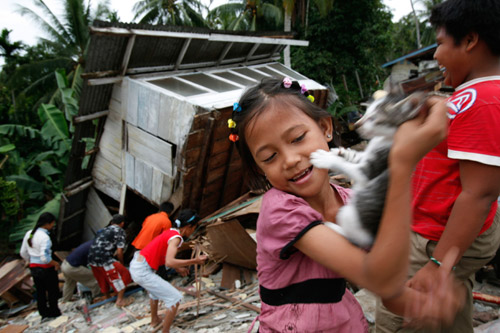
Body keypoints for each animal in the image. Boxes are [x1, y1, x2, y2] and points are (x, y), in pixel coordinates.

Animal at [312, 88, 426, 246]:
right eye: (367, 111)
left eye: (374, 118)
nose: (357, 125)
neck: (383, 139)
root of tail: (374, 237)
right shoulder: (366, 156)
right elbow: (355, 157)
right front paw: (340, 152)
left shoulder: (375, 166)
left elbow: (349, 166)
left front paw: (325, 158)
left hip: (349, 214)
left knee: (354, 239)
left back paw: (333, 227)